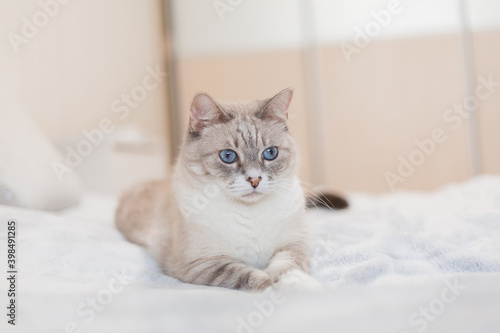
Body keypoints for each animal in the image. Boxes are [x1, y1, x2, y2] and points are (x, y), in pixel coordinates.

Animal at [115, 89, 346, 290]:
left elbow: (287, 269)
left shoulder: (292, 247)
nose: (255, 180)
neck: (251, 214)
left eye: (270, 153)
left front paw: (303, 286)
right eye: (228, 156)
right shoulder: (202, 265)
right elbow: (254, 278)